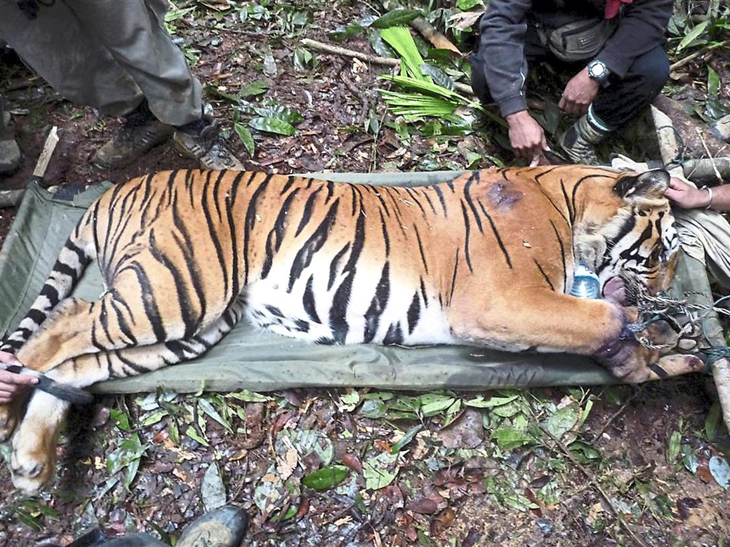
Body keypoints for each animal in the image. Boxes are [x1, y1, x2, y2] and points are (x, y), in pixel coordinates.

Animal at [0, 165, 703, 493]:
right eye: (662, 252)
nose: (672, 290)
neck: (567, 199)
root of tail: (110, 190)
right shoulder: (503, 299)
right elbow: (601, 316)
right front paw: (645, 332)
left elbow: (610, 333)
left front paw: (666, 354)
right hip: (174, 291)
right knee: (66, 321)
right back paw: (9, 409)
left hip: (188, 326)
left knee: (79, 364)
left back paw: (31, 462)